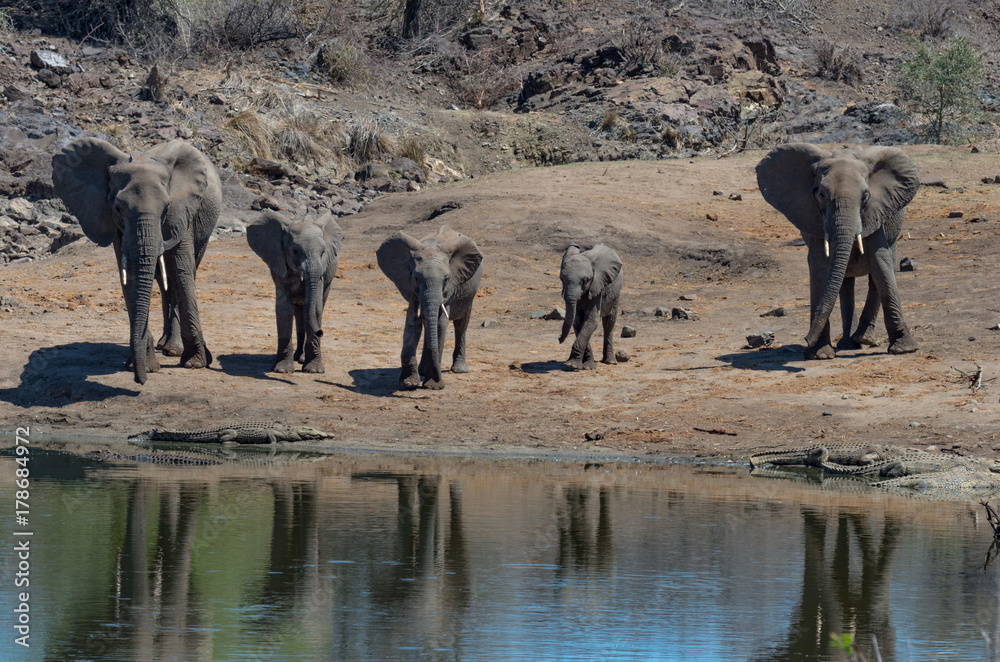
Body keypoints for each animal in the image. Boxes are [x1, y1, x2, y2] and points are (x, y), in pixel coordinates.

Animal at [52, 138, 221, 384]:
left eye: (166, 208)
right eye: (118, 207)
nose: (140, 381)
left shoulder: (183, 212)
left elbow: (182, 270)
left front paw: (195, 363)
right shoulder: (112, 222)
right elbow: (130, 275)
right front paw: (144, 366)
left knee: (180, 273)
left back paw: (172, 349)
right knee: (163, 280)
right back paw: (164, 345)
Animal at [246, 210, 343, 374]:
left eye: (323, 252)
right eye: (295, 251)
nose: (320, 332)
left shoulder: (322, 274)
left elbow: (316, 308)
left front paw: (314, 371)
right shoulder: (279, 264)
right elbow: (284, 309)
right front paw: (282, 370)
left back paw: (302, 359)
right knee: (300, 312)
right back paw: (298, 357)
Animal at [376, 226, 484, 390]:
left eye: (446, 279)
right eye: (416, 277)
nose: (438, 384)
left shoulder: (450, 290)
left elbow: (440, 324)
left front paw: (433, 386)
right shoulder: (412, 289)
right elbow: (412, 324)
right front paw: (409, 383)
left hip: (469, 293)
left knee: (461, 325)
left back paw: (459, 370)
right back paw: (422, 370)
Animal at [756, 143, 920, 360]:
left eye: (865, 196)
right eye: (820, 194)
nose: (806, 339)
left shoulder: (875, 212)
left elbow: (880, 264)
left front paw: (904, 350)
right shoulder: (814, 219)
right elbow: (819, 267)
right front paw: (819, 354)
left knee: (881, 272)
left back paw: (864, 340)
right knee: (844, 283)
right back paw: (849, 344)